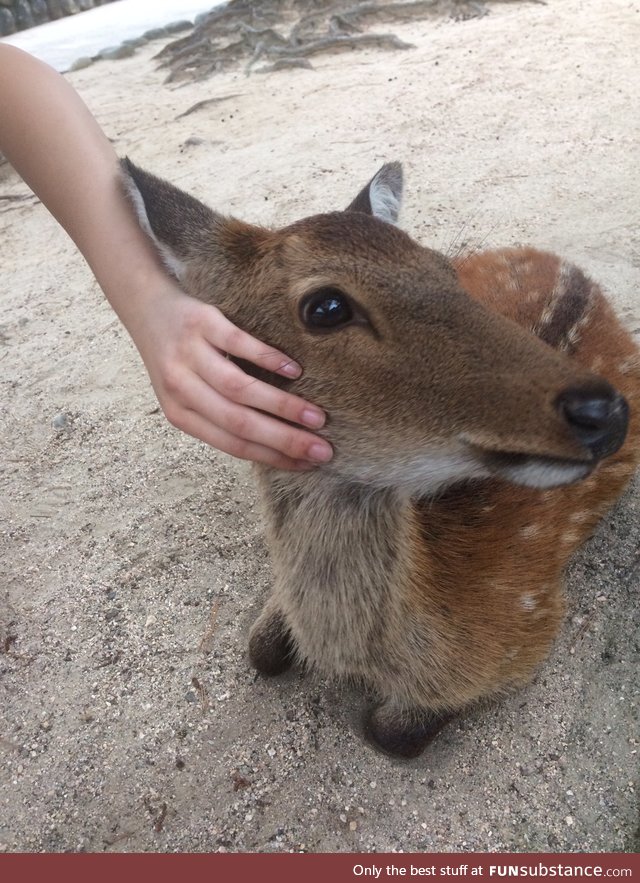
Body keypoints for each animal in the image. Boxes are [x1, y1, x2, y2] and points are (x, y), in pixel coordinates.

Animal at [121, 159, 640, 760]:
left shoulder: (528, 625)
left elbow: (388, 731)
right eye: (326, 307)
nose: (603, 410)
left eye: (444, 270)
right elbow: (260, 650)